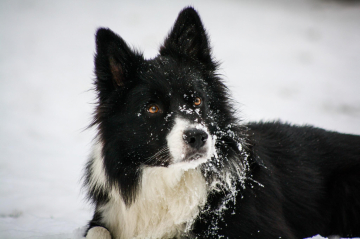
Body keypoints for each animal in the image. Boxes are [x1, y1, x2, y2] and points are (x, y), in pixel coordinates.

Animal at [83, 6, 360, 238]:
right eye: (152, 108)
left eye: (197, 100)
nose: (197, 137)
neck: (171, 182)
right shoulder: (106, 217)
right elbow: (98, 231)